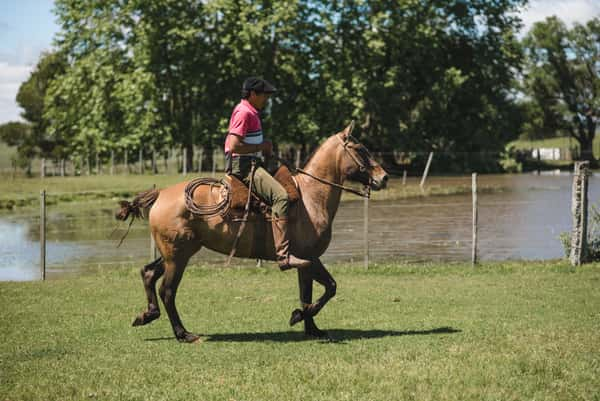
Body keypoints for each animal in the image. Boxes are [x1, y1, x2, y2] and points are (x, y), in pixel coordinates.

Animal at [116, 122, 390, 340]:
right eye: (360, 149)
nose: (384, 177)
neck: (311, 197)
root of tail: (160, 194)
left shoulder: (306, 260)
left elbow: (310, 292)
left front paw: (311, 327)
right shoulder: (310, 258)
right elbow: (328, 288)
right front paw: (299, 316)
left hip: (177, 252)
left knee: (148, 274)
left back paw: (146, 315)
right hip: (177, 256)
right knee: (168, 291)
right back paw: (183, 334)